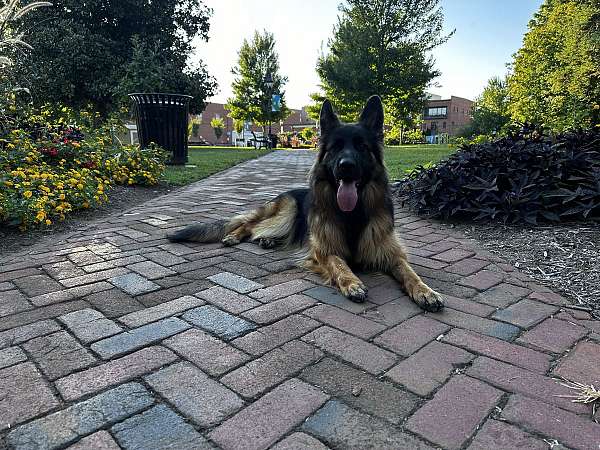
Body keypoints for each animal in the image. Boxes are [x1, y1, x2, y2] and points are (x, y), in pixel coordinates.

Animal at [166, 96, 442, 312]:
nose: (346, 167)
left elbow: (409, 271)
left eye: (362, 147)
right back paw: (236, 236)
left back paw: (267, 241)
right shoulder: (324, 250)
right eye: (336, 148)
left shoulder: (390, 251)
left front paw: (425, 291)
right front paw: (352, 282)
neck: (351, 215)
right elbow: (339, 264)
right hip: (286, 213)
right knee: (251, 226)